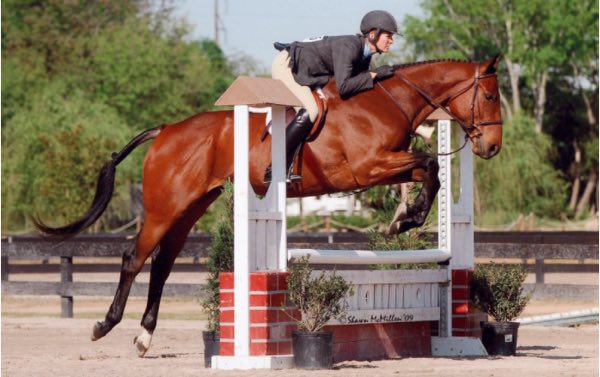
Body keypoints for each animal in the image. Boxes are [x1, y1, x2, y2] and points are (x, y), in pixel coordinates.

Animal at [32, 55, 502, 356]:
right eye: (491, 97)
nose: (492, 147)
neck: (386, 100)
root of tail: (165, 130)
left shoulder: (384, 167)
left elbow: (429, 171)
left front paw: (406, 217)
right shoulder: (368, 168)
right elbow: (428, 164)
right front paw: (408, 218)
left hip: (190, 208)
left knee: (162, 264)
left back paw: (145, 337)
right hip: (166, 207)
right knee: (134, 257)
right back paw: (104, 326)